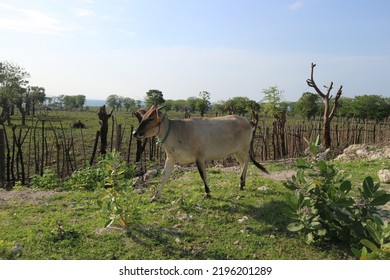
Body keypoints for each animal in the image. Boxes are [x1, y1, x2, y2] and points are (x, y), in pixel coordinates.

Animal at [134, 105, 268, 201]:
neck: (177, 131)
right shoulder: (171, 158)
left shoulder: (199, 157)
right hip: (236, 151)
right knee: (243, 163)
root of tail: (247, 121)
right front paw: (155, 196)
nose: (135, 133)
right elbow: (163, 177)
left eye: (151, 118)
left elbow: (203, 175)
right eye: (143, 117)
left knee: (247, 161)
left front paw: (207, 193)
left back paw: (241, 182)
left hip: (243, 148)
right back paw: (242, 182)